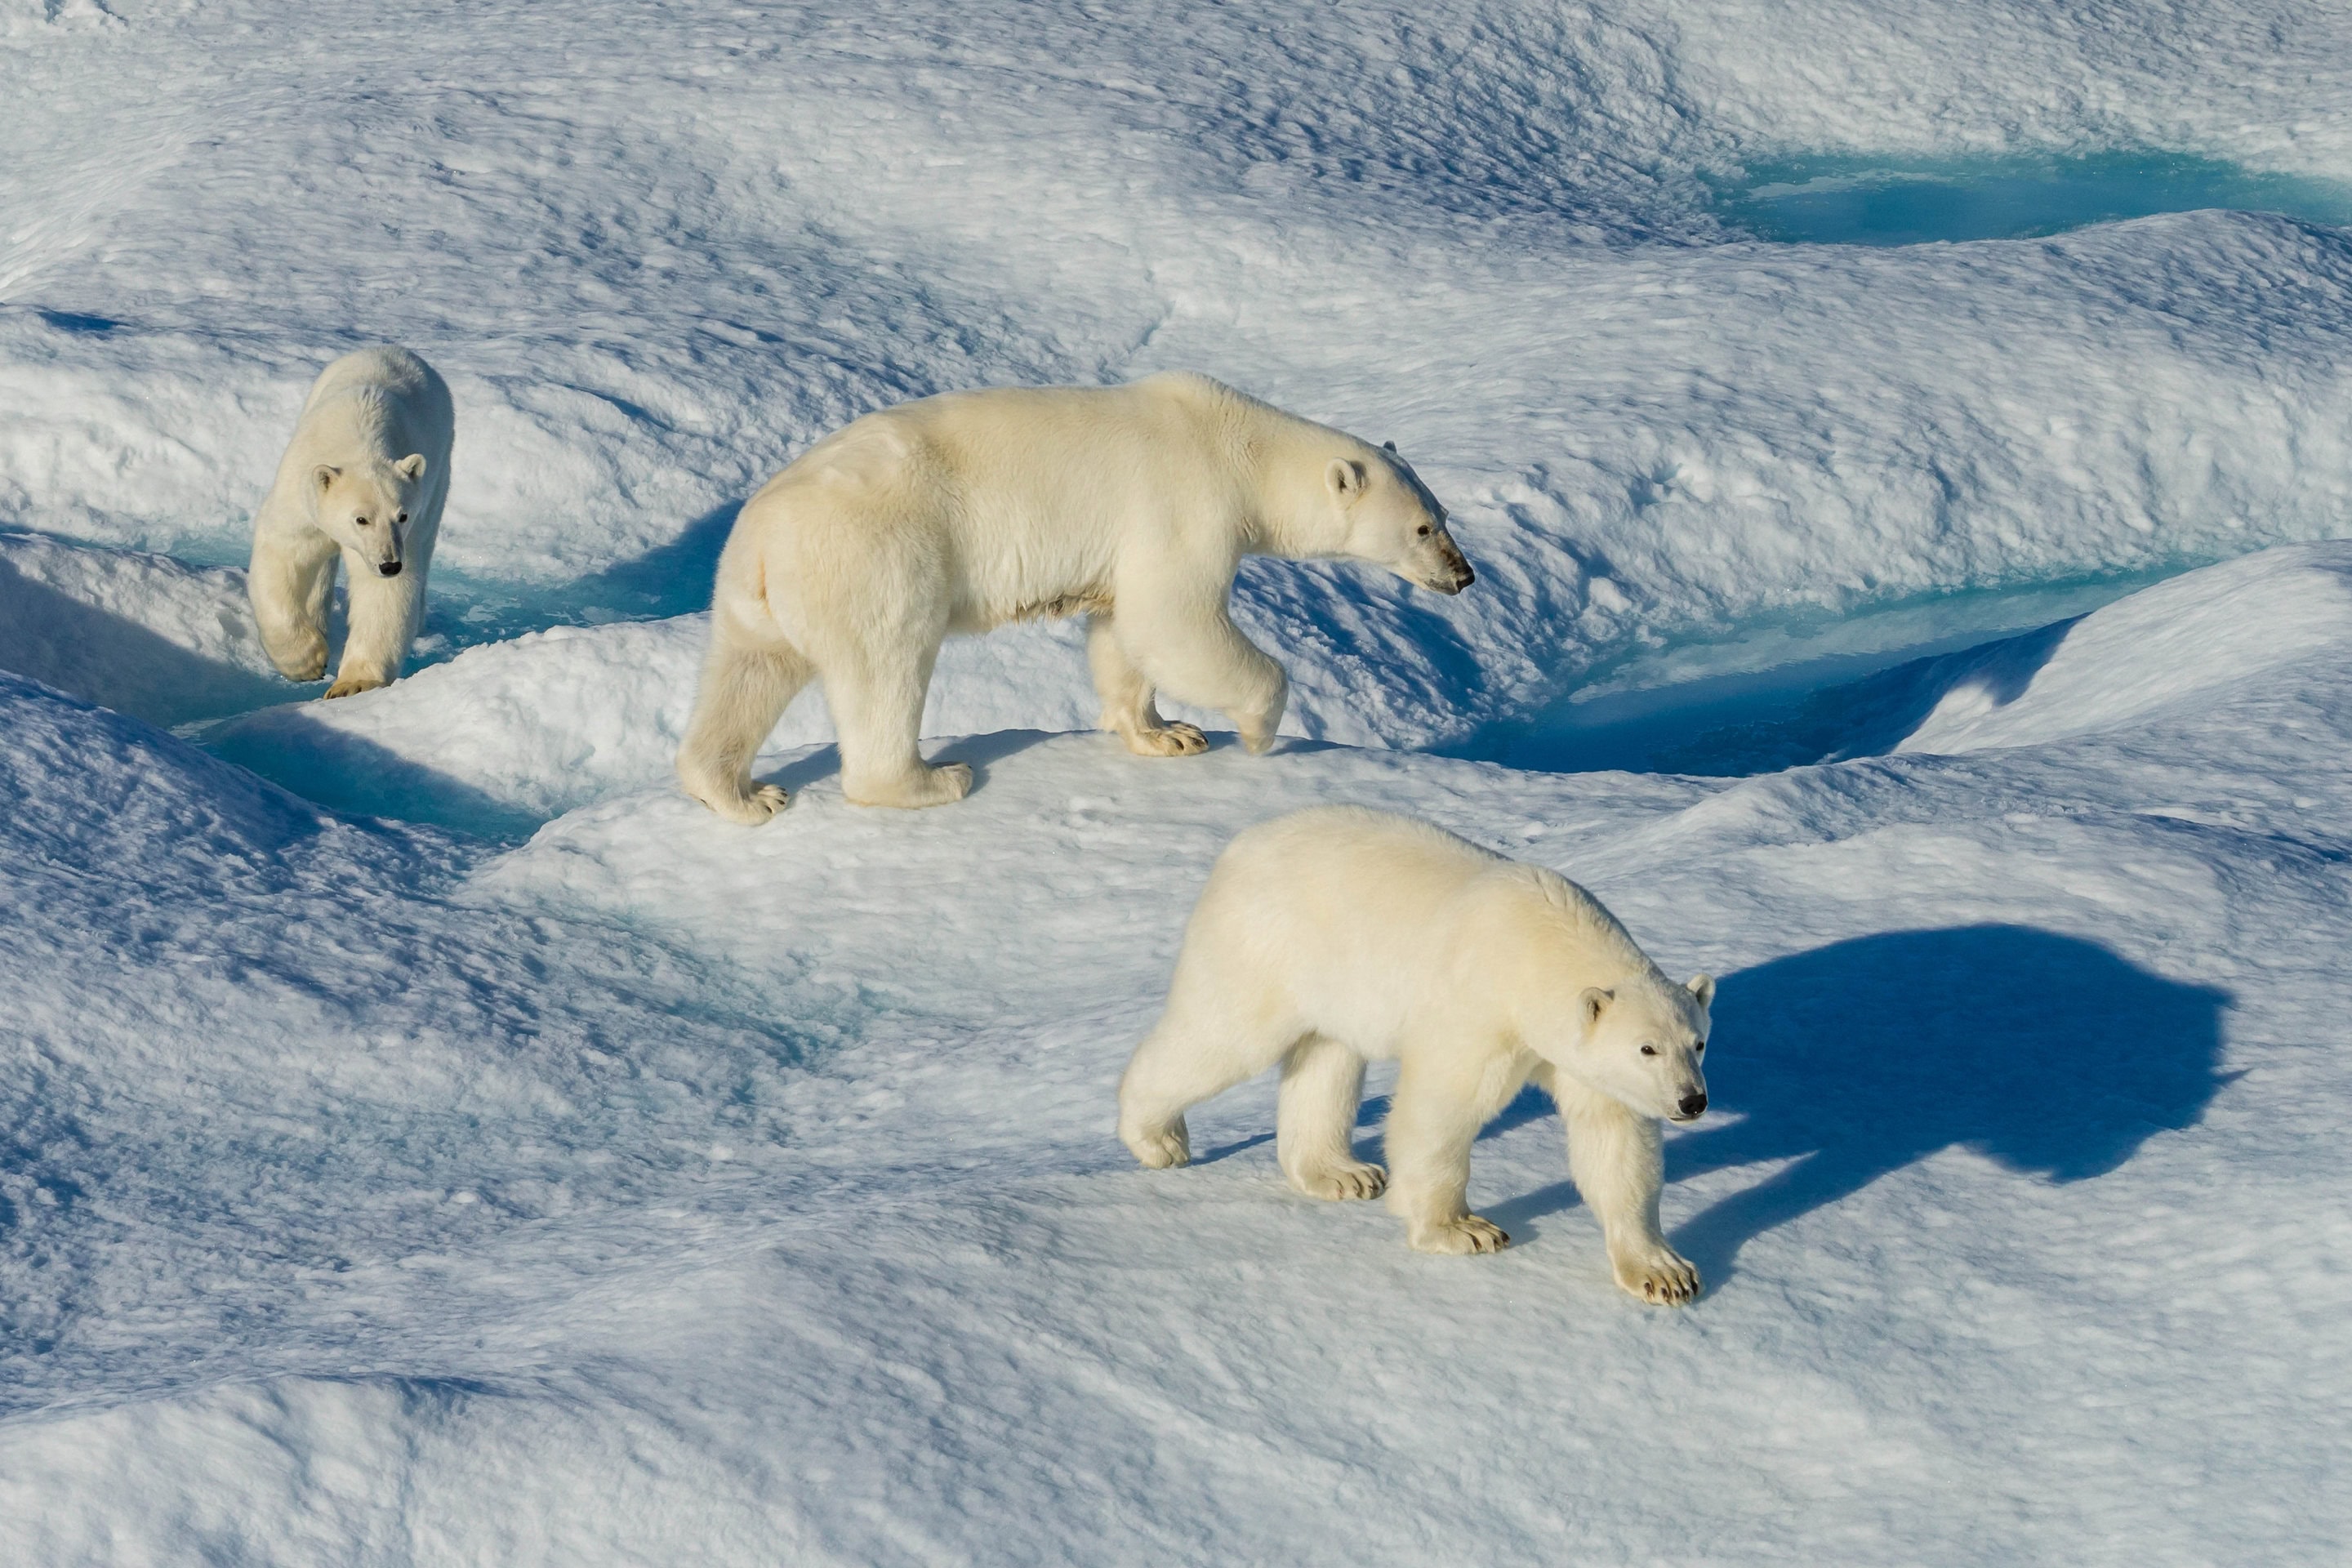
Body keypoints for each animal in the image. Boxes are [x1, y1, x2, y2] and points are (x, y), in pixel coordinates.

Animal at [245, 354, 451, 705]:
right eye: (361, 519)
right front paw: (307, 661)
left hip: (438, 477)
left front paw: (353, 684)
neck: (358, 437)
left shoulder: (404, 533)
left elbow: (382, 593)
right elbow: (283, 553)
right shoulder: (301, 493)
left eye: (402, 515)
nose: (390, 564)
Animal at [672, 373, 1468, 822]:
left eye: (1444, 515)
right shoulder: (1184, 503)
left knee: (749, 673)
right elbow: (1173, 619)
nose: (1464, 577)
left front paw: (1170, 734)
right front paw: (1256, 733)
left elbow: (1123, 629)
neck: (1237, 444)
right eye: (1423, 528)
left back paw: (740, 792)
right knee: (885, 666)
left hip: (756, 593)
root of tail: (764, 535)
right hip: (877, 556)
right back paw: (936, 779)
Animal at [1110, 804, 1722, 1307]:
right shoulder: (1478, 1010)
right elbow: (1441, 1108)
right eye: (1646, 1047)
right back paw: (1157, 1138)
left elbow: (1614, 1141)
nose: (1692, 1101)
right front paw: (1463, 1230)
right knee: (1222, 1037)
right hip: (1265, 945)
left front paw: (1664, 1273)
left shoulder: (1581, 1061)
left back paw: (1342, 1173)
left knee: (1326, 1059)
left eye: (1698, 1041)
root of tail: (1239, 846)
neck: (1541, 945)